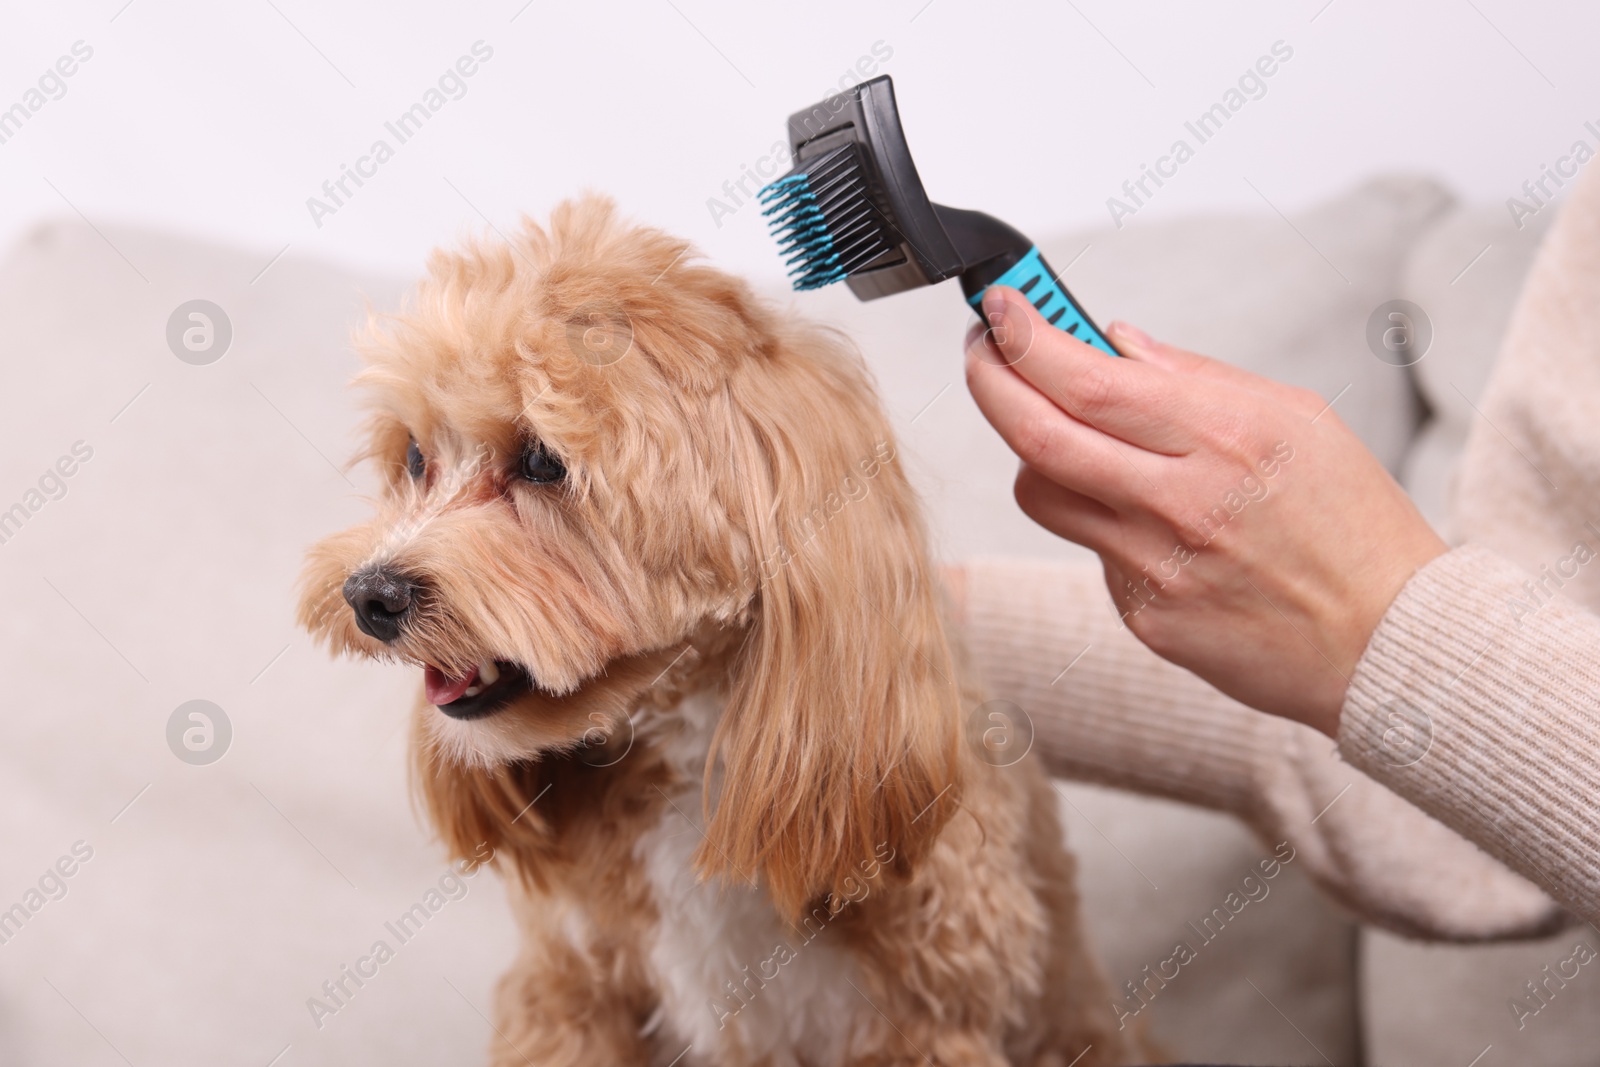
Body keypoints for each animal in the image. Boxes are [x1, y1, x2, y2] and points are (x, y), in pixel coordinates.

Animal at [294, 195, 1132, 1062]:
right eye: (415, 456)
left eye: (542, 462)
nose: (370, 594)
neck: (691, 752)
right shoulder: (569, 986)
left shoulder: (927, 1016)